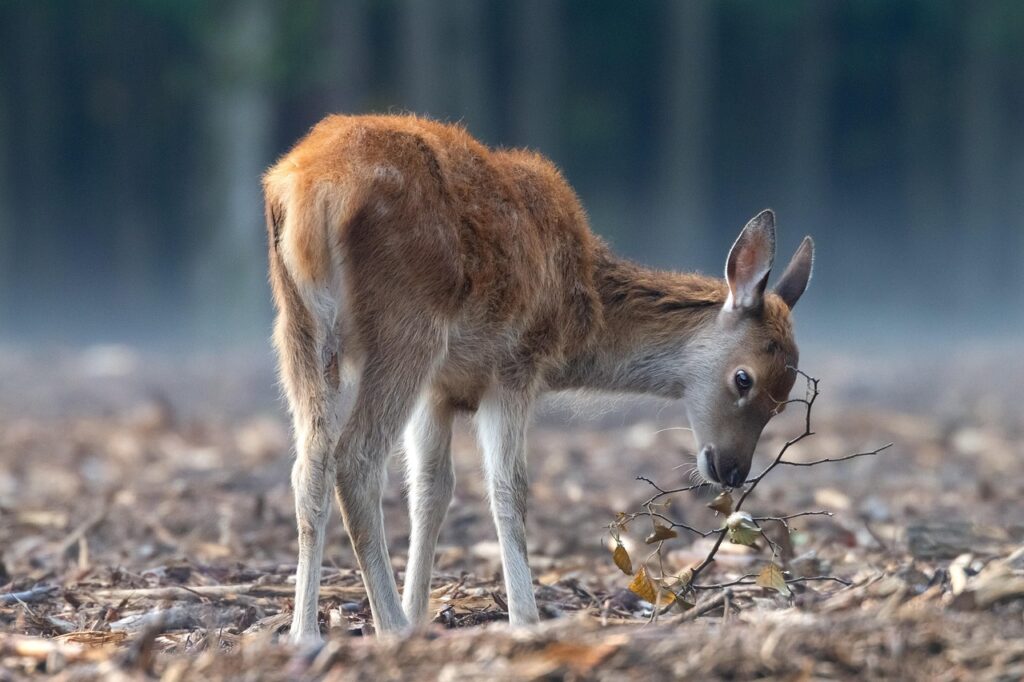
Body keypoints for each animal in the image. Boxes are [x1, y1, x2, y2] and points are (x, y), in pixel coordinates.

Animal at [263, 114, 814, 641]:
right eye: (744, 379)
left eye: (784, 399)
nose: (732, 470)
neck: (580, 316)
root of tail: (310, 191)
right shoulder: (514, 365)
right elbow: (509, 489)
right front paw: (523, 619)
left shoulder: (439, 389)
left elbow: (431, 489)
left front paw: (421, 612)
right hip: (407, 328)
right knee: (356, 459)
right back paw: (389, 628)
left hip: (298, 329)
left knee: (309, 465)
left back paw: (305, 633)